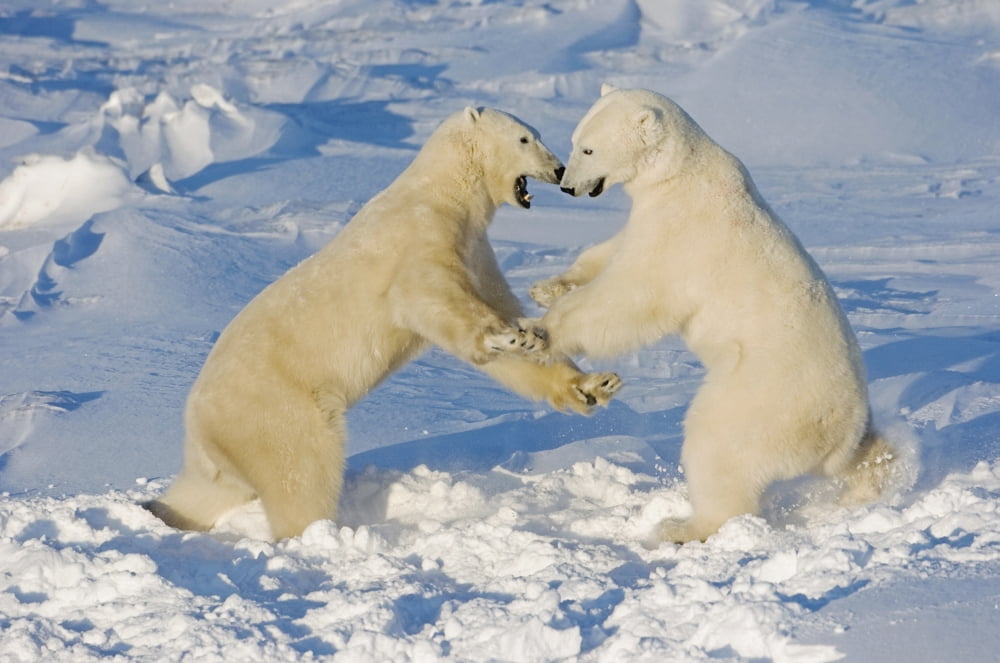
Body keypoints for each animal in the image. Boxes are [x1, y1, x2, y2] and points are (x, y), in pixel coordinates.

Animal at [145, 107, 622, 541]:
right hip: (275, 409)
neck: (442, 194)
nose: (559, 170)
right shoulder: (419, 239)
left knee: (207, 492)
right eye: (525, 138)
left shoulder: (476, 251)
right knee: (300, 470)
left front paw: (591, 384)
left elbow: (504, 316)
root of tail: (197, 425)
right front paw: (506, 336)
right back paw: (318, 534)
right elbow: (435, 299)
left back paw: (163, 510)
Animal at [527, 85, 896, 544]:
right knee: (865, 455)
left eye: (589, 148)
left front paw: (540, 332)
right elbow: (612, 251)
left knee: (717, 448)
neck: (683, 173)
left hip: (759, 398)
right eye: (575, 140)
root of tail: (841, 431)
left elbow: (632, 296)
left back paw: (682, 527)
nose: (566, 186)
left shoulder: (682, 233)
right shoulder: (651, 218)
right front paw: (547, 287)